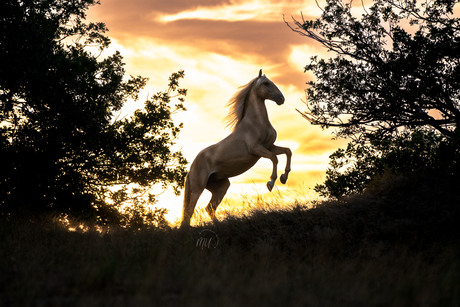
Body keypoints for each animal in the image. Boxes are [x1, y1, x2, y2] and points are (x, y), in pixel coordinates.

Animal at [180, 70, 292, 229]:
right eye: (266, 83)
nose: (281, 99)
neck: (255, 123)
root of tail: (190, 169)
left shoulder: (270, 146)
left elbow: (287, 151)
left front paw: (284, 177)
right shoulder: (257, 149)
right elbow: (274, 158)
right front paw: (270, 183)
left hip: (221, 186)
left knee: (209, 208)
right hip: (198, 188)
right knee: (190, 212)